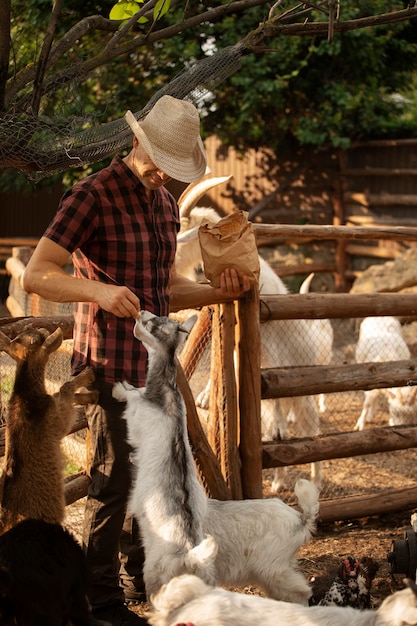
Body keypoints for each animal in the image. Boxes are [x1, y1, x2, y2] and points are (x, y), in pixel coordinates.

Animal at [0, 326, 94, 532]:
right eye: (40, 336)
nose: (43, 328)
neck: (26, 397)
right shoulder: (57, 422)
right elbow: (64, 388)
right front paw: (88, 378)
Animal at [175, 173, 332, 490]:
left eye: (181, 233)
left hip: (303, 389)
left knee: (307, 425)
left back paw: (313, 480)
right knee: (276, 432)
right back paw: (278, 482)